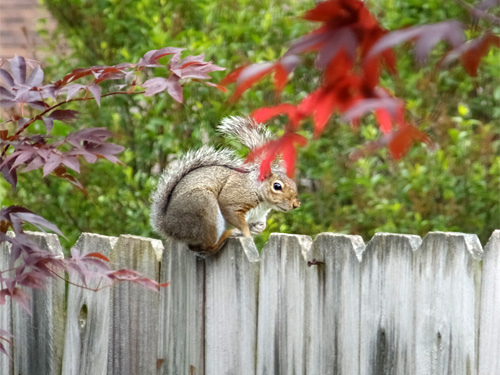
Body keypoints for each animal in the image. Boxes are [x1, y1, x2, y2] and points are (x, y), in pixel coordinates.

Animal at [150, 116, 300, 254]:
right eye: (277, 186)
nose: (296, 204)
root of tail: (168, 227)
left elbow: (258, 224)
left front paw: (259, 228)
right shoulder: (233, 199)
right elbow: (236, 218)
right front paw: (247, 235)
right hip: (205, 209)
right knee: (205, 247)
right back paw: (227, 235)